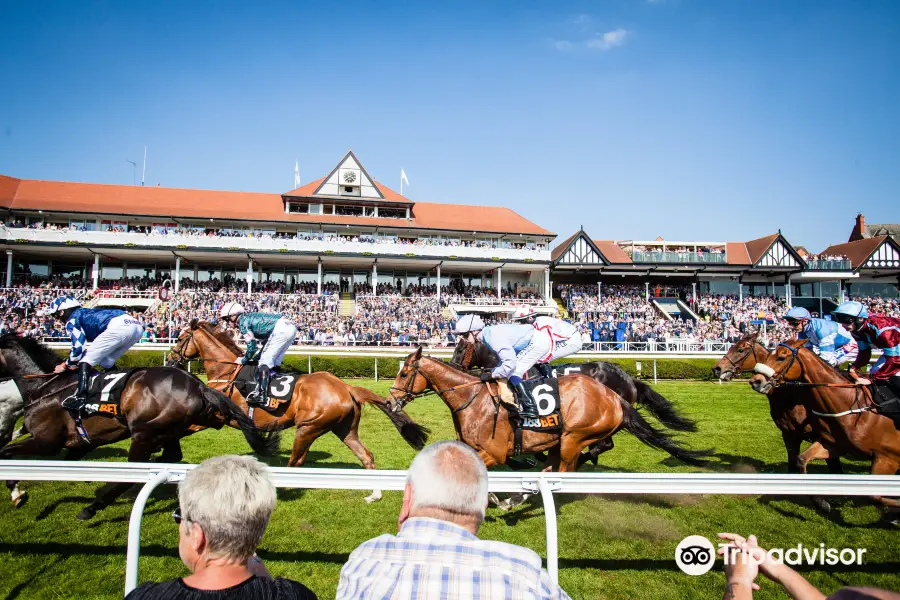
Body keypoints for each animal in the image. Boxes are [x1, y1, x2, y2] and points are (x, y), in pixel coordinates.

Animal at [0, 336, 280, 516]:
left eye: (182, 337)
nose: (174, 357)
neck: (48, 388)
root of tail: (197, 386)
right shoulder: (80, 443)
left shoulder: (46, 442)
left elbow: (6, 452)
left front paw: (15, 490)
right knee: (169, 456)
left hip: (143, 434)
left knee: (135, 471)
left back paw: (94, 506)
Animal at [167, 322, 430, 504]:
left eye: (179, 338)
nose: (170, 360)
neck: (226, 374)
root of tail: (345, 386)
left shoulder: (214, 417)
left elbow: (183, 429)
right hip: (345, 429)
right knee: (366, 456)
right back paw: (374, 494)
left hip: (308, 427)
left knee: (296, 461)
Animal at [390, 346, 708, 478]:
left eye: (404, 373)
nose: (391, 400)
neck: (473, 397)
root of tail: (626, 383)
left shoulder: (494, 451)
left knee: (598, 446)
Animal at [748, 340, 900, 512]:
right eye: (769, 355)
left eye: (781, 357)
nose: (756, 381)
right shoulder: (831, 443)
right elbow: (801, 460)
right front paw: (822, 502)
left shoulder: (887, 458)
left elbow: (875, 496)